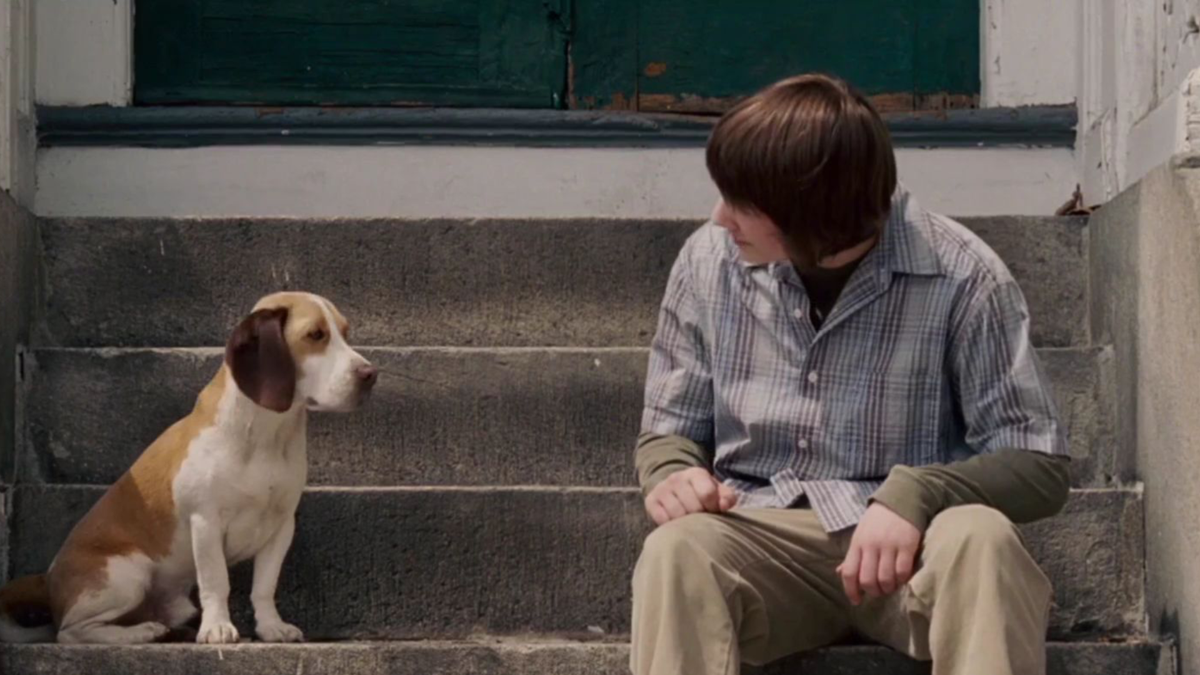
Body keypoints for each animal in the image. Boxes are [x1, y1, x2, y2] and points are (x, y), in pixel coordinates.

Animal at [0, 292, 377, 644]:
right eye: (315, 335)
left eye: (345, 332)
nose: (370, 374)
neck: (266, 434)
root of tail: (48, 578)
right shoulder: (205, 521)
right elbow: (216, 582)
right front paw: (218, 628)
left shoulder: (281, 526)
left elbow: (264, 586)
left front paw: (271, 627)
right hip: (129, 573)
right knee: (70, 631)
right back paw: (141, 632)